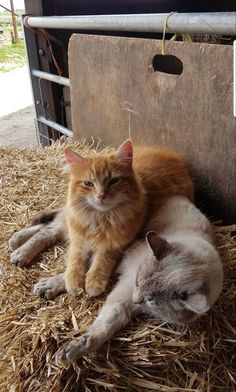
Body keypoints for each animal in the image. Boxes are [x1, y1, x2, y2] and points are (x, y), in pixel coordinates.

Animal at [9, 196, 223, 364]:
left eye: (151, 301)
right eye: (138, 281)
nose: (137, 299)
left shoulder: (124, 303)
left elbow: (103, 329)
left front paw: (77, 349)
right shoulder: (117, 262)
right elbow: (82, 275)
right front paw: (52, 285)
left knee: (52, 225)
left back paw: (17, 241)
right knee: (52, 227)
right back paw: (19, 247)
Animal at [64, 139, 194, 296]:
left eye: (113, 181)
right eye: (88, 183)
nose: (101, 196)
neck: (100, 218)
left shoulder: (114, 245)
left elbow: (101, 261)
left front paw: (93, 282)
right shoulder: (78, 240)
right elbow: (75, 260)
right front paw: (74, 282)